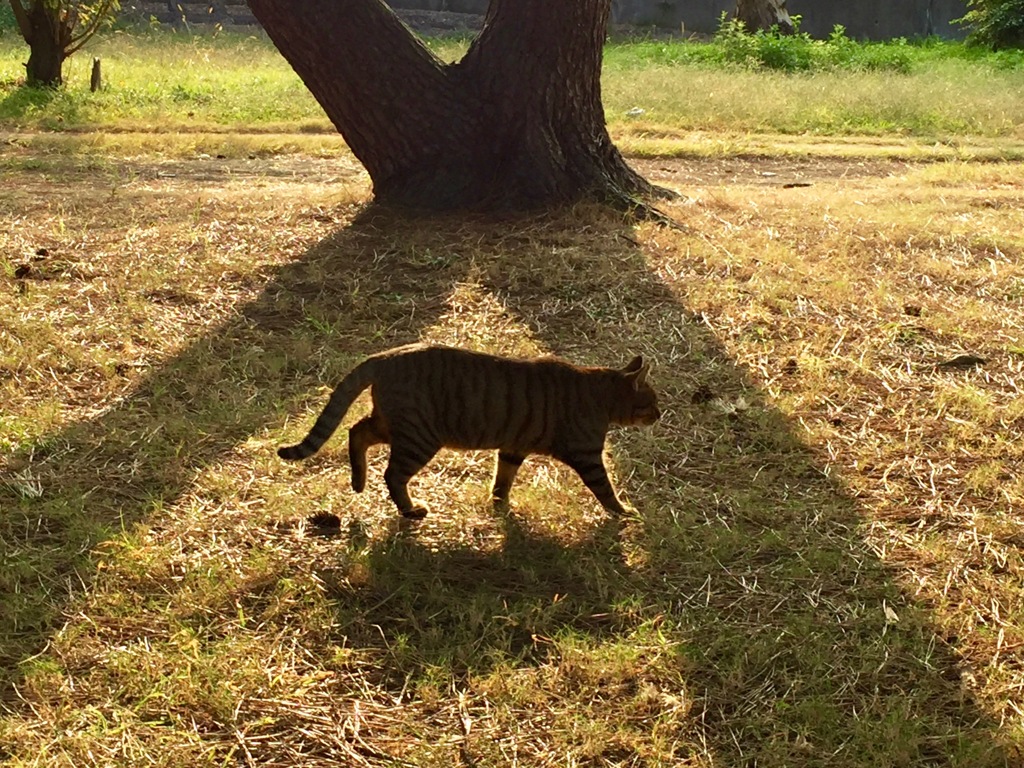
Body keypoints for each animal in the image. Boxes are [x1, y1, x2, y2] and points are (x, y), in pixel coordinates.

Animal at [278, 344, 663, 520]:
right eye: (652, 401)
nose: (660, 415)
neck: (600, 394)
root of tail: (387, 355)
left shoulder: (512, 448)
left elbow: (502, 480)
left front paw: (500, 505)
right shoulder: (588, 456)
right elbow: (607, 491)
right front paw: (625, 511)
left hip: (393, 425)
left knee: (356, 432)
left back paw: (358, 481)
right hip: (419, 437)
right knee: (392, 474)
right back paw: (410, 509)